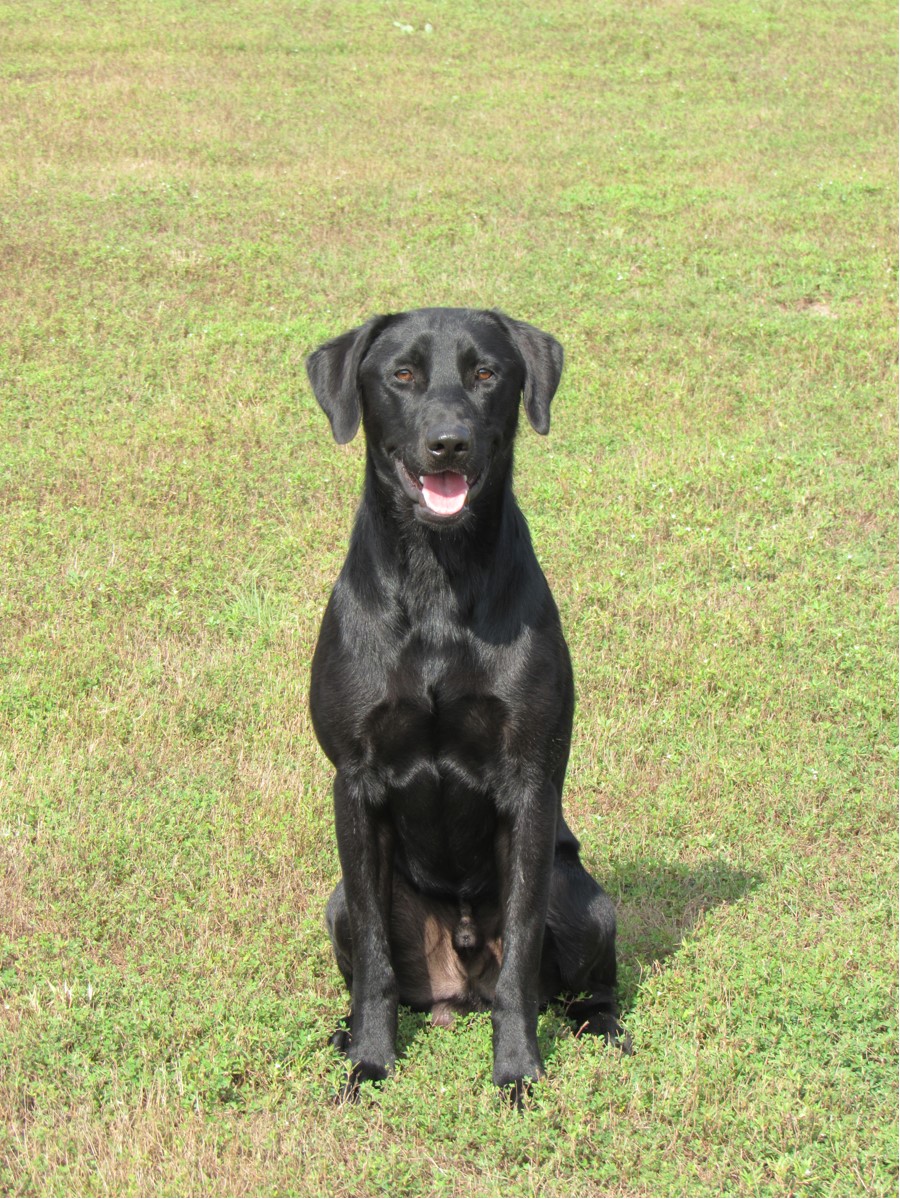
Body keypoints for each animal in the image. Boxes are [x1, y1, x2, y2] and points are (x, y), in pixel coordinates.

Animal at [306, 304, 623, 1098]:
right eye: (402, 374)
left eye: (485, 373)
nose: (448, 440)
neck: (438, 582)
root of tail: (460, 985)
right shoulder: (355, 782)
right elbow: (377, 967)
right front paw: (370, 1060)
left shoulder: (530, 783)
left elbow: (522, 966)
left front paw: (517, 1072)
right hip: (338, 905)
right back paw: (343, 1032)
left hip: (585, 900)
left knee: (582, 985)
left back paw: (604, 1031)